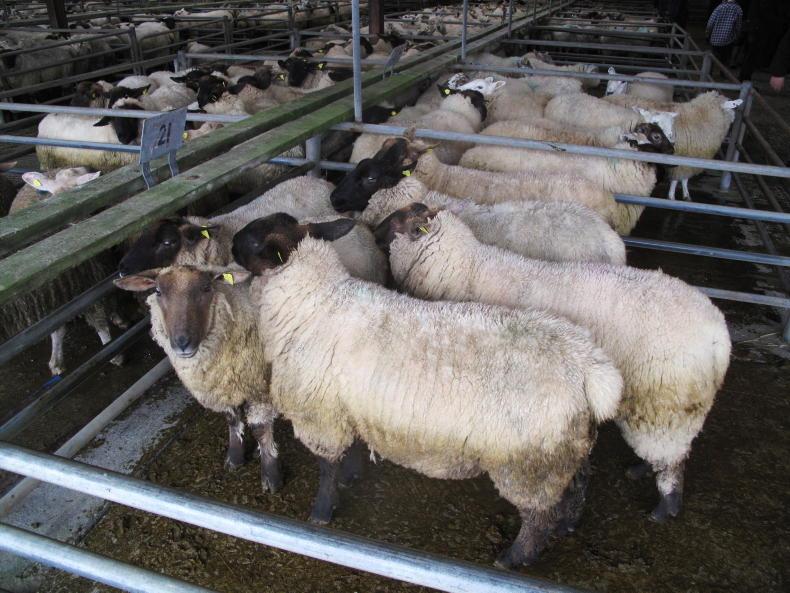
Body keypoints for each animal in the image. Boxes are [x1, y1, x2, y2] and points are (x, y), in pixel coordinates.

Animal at [232, 224, 623, 567]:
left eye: (255, 241)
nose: (232, 240)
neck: (315, 301)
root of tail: (590, 368)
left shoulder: (321, 415)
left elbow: (327, 469)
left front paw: (321, 512)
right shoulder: (350, 407)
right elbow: (354, 449)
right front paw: (351, 476)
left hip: (529, 462)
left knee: (538, 517)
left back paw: (514, 558)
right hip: (566, 448)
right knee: (580, 481)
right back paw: (569, 523)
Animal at [383, 207, 731, 524]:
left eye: (400, 221)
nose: (373, 226)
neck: (466, 268)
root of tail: (718, 335)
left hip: (667, 399)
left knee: (671, 460)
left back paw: (664, 507)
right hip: (660, 407)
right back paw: (641, 469)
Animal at [604, 92, 742, 200]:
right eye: (732, 107)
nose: (734, 117)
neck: (702, 117)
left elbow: (685, 179)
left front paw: (686, 194)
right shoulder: (680, 158)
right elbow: (677, 180)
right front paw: (672, 196)